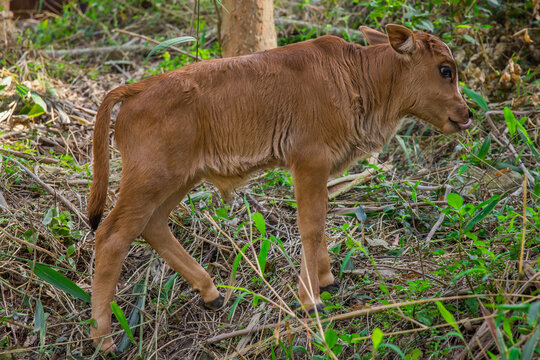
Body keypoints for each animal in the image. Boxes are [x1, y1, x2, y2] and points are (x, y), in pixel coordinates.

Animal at [86, 23, 470, 350]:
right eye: (445, 70)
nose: (466, 114)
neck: (357, 74)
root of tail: (135, 90)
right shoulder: (309, 162)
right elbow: (311, 226)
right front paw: (310, 300)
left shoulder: (319, 169)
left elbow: (320, 221)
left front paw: (326, 279)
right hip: (150, 182)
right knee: (111, 236)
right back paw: (103, 340)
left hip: (179, 181)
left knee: (152, 225)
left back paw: (212, 293)